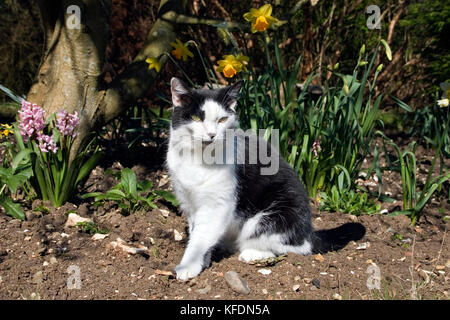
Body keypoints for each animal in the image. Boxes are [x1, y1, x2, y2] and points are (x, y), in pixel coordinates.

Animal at [167, 77, 360, 280]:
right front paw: (203, 261)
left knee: (294, 247)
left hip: (273, 216)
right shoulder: (188, 202)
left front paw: (187, 266)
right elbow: (198, 233)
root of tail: (309, 231)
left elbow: (201, 237)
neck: (197, 159)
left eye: (222, 119)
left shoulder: (217, 205)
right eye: (197, 118)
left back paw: (252, 253)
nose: (212, 135)